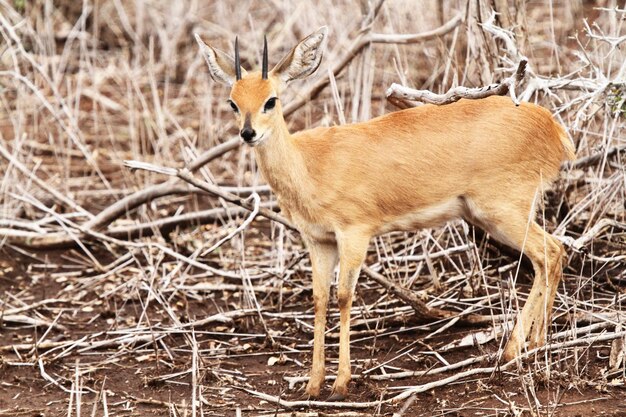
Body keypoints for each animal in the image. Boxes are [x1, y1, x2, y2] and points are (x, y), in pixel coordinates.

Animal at [194, 27, 572, 398]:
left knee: (552, 252)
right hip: (488, 216)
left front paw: (341, 384)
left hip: (503, 211)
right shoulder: (319, 241)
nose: (248, 133)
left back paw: (522, 349)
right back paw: (529, 346)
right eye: (233, 101)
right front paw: (313, 384)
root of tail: (553, 128)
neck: (309, 165)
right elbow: (319, 299)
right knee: (548, 257)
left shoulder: (354, 233)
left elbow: (344, 297)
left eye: (270, 100)